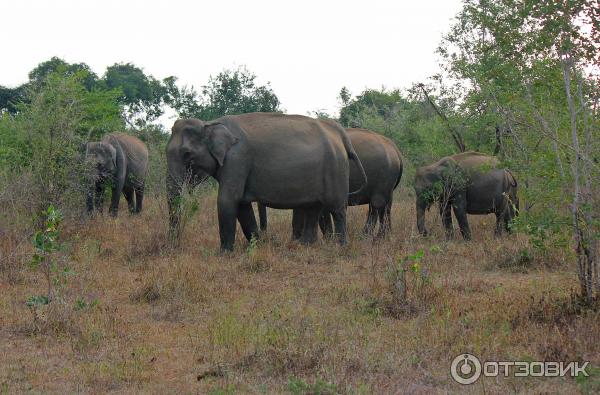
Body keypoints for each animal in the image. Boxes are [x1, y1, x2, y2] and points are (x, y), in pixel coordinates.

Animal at [166, 113, 368, 252]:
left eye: (187, 154)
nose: (174, 246)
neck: (210, 123)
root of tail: (341, 137)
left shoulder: (237, 159)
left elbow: (227, 200)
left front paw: (224, 253)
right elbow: (242, 206)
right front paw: (256, 245)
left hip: (335, 169)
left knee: (337, 209)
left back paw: (341, 246)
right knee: (314, 208)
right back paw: (306, 245)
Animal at [255, 127, 400, 238]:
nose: (264, 236)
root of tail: (395, 149)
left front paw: (327, 240)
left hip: (383, 177)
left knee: (376, 205)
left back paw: (366, 237)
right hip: (387, 183)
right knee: (386, 206)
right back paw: (384, 237)